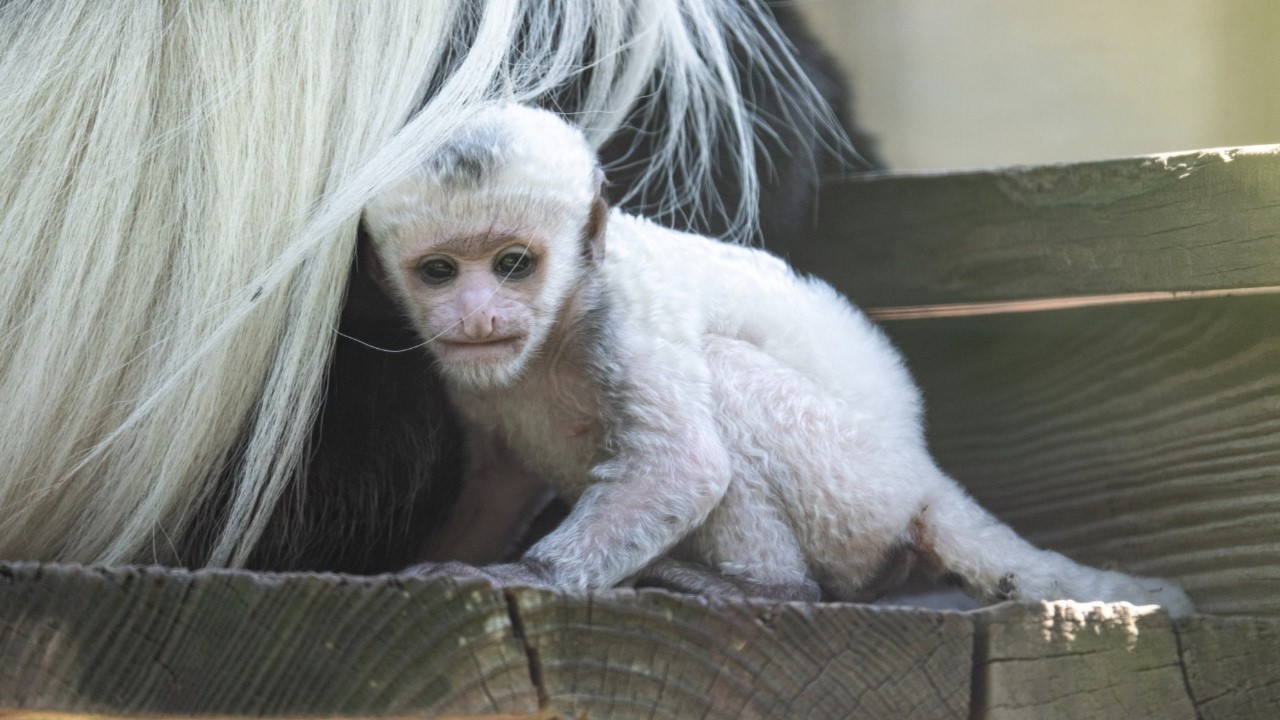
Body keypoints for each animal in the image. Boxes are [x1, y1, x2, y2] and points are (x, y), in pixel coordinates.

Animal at [362, 104, 1194, 616]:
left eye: (512, 264)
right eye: (440, 272)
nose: (478, 314)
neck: (556, 321)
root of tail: (919, 472)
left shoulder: (620, 316)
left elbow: (685, 464)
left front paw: (513, 576)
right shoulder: (469, 384)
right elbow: (495, 481)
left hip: (855, 487)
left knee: (725, 378)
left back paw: (764, 591)